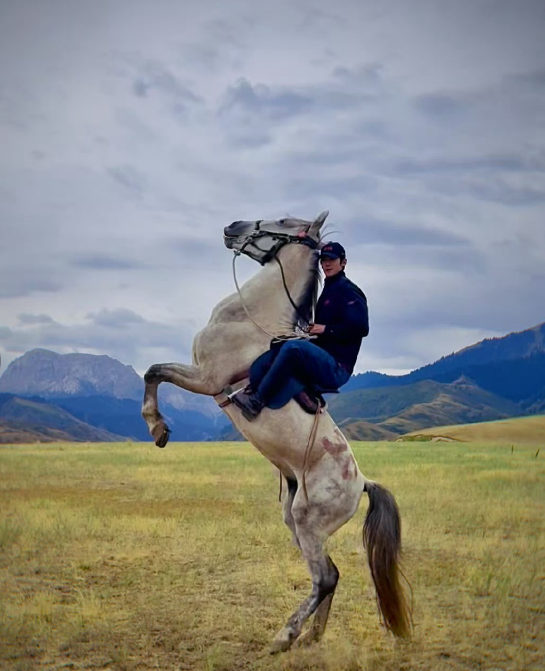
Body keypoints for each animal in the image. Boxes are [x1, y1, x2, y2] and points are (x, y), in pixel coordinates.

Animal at [142, 211, 411, 652]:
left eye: (284, 220)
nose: (233, 226)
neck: (250, 318)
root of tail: (362, 483)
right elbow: (153, 371)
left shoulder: (206, 379)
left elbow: (154, 372)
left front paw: (157, 427)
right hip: (297, 523)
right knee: (331, 575)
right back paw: (313, 635)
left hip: (307, 522)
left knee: (326, 577)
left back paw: (285, 635)